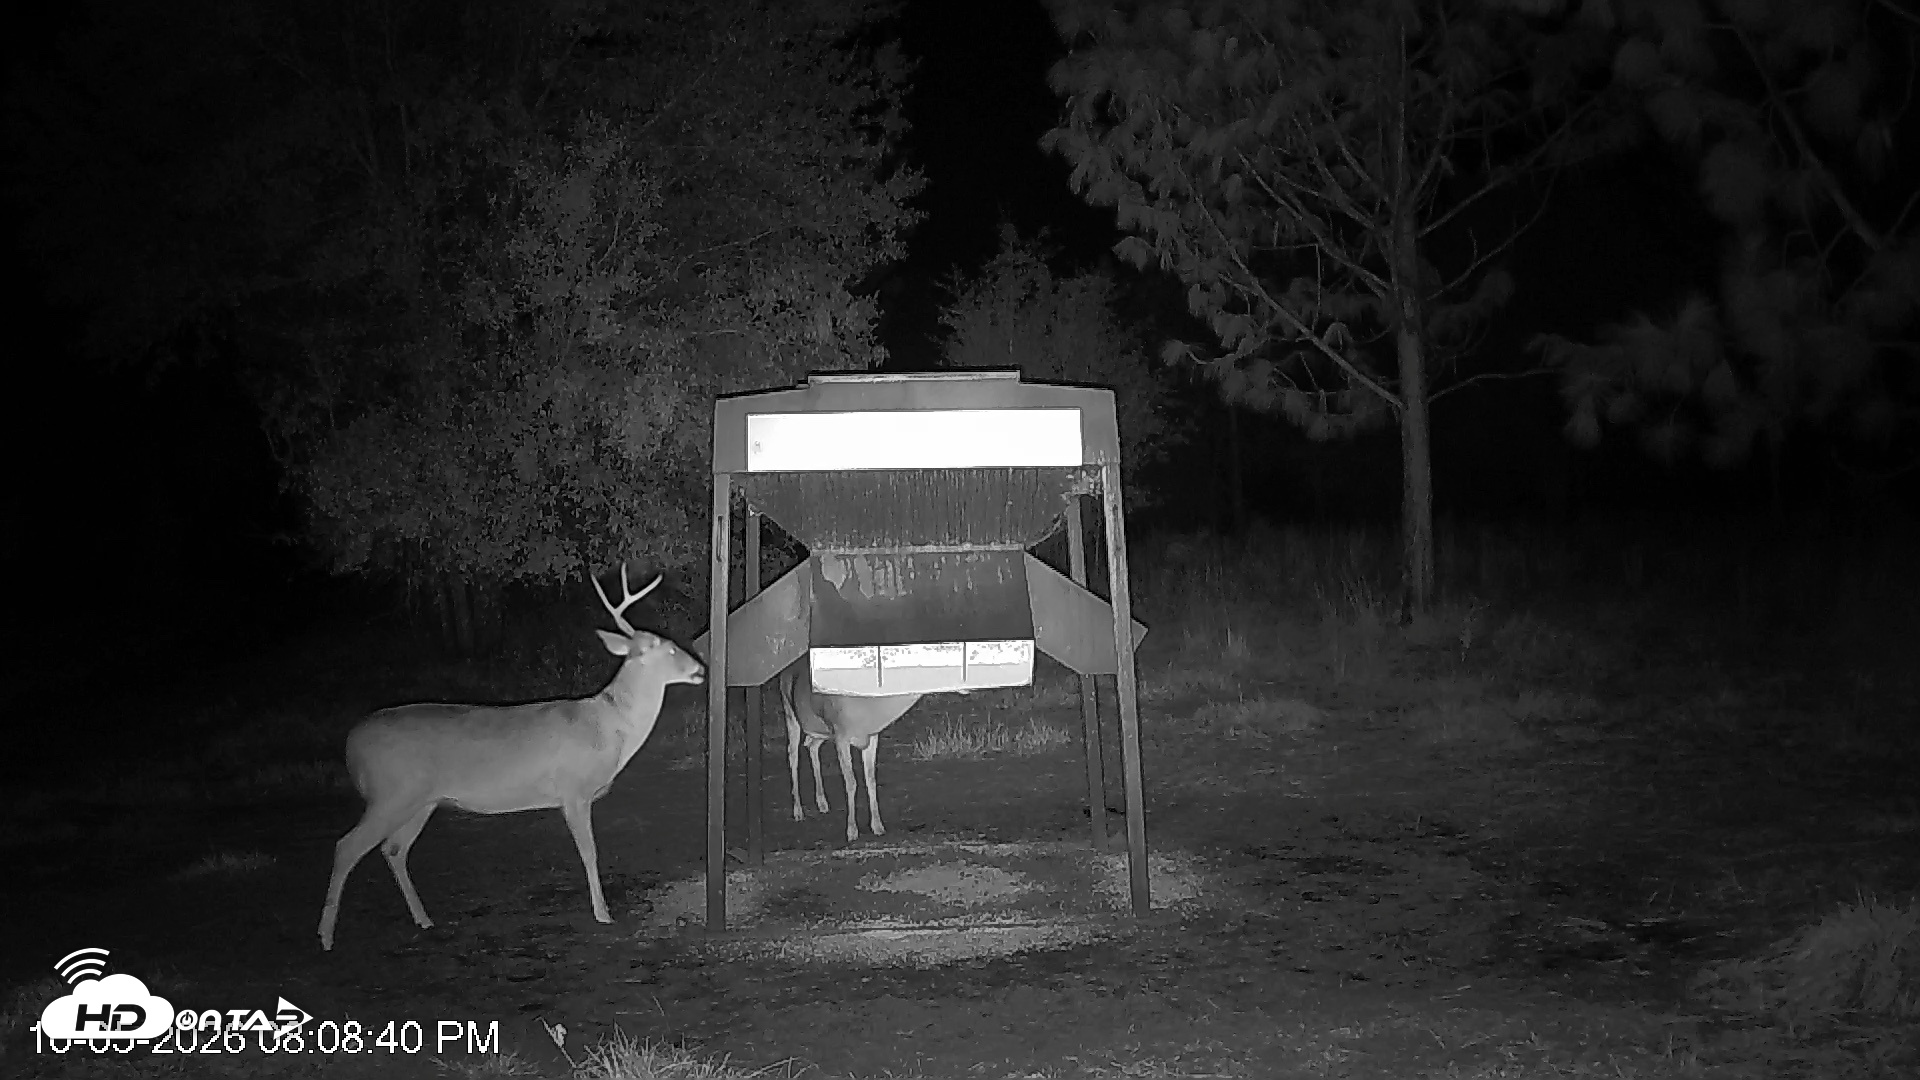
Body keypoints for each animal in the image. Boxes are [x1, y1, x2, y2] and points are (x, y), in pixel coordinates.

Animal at [317, 565, 704, 951]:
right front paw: (603, 914)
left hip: (420, 801)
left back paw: (423, 920)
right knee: (346, 846)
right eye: (667, 648)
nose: (700, 668)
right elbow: (590, 852)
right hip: (390, 793)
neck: (607, 727)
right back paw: (326, 935)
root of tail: (351, 744)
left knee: (393, 849)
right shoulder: (573, 790)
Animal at [777, 662, 922, 843]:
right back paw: (798, 811)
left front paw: (878, 826)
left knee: (811, 745)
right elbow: (851, 782)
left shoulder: (871, 737)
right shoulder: (841, 736)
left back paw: (822, 803)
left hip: (822, 730)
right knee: (793, 754)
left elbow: (871, 779)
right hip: (790, 713)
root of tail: (785, 670)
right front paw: (852, 831)